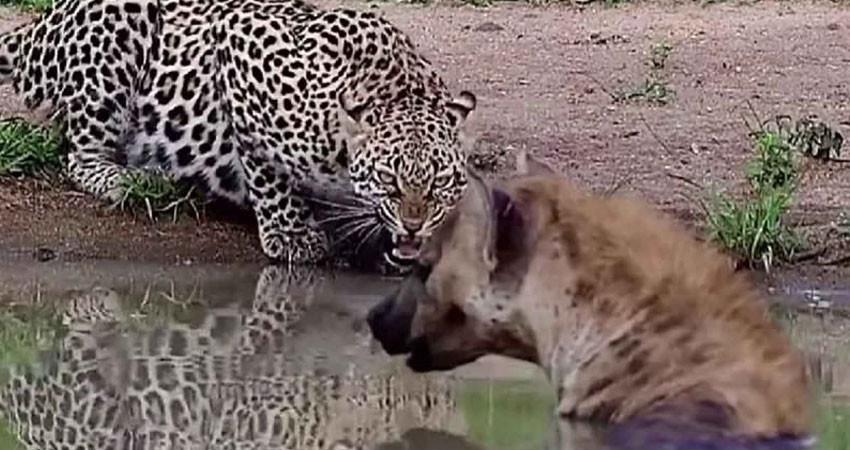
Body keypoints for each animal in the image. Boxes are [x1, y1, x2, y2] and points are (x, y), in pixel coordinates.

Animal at [0, 0, 477, 267]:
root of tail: (41, 23)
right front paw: (291, 234)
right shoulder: (240, 37)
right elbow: (263, 163)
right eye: (388, 179)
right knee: (80, 156)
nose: (414, 225)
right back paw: (133, 179)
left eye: (441, 181)